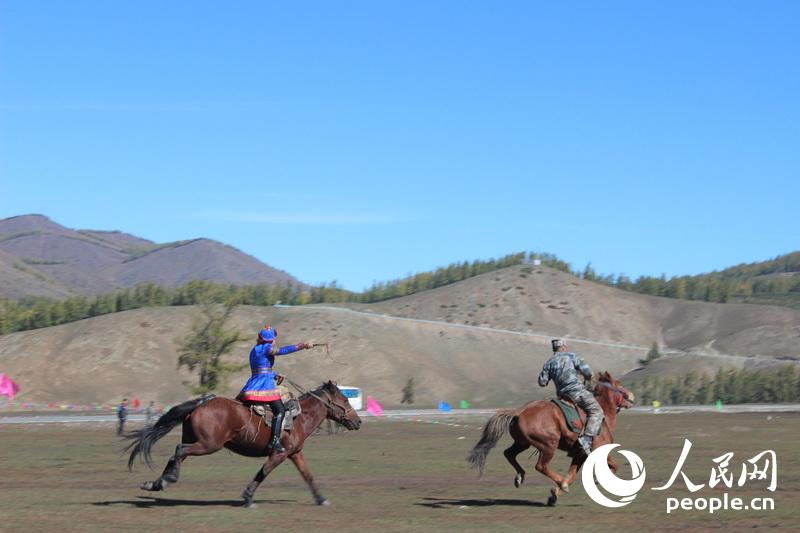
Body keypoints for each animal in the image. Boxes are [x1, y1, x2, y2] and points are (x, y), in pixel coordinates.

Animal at [126, 378, 362, 508]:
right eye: (345, 400)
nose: (358, 421)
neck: (299, 418)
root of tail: (202, 402)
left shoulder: (295, 454)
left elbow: (308, 476)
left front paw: (321, 499)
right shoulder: (279, 453)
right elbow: (262, 473)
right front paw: (248, 498)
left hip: (197, 440)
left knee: (177, 455)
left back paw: (158, 483)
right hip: (208, 445)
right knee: (179, 450)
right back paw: (168, 480)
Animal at [466, 370, 636, 502]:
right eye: (620, 385)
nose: (632, 397)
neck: (603, 416)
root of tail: (519, 412)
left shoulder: (579, 455)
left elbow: (572, 475)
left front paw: (555, 494)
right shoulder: (598, 449)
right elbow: (614, 466)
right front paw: (593, 480)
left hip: (523, 443)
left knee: (509, 453)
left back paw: (521, 477)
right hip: (549, 445)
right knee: (541, 466)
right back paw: (559, 482)